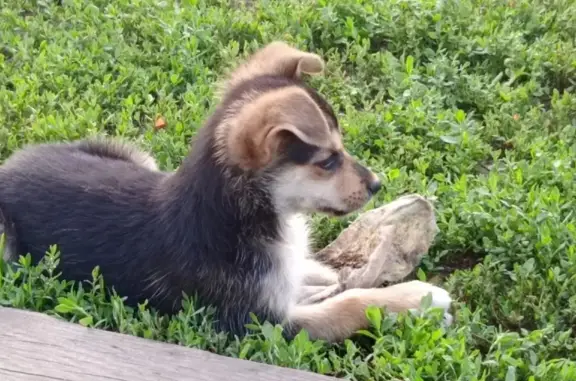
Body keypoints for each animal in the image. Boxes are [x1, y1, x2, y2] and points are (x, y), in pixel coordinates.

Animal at [0, 42, 452, 342]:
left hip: (132, 155)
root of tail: (7, 168)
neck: (254, 215)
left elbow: (319, 272)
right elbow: (349, 304)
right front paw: (416, 298)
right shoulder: (263, 324)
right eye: (327, 161)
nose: (377, 185)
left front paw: (329, 273)